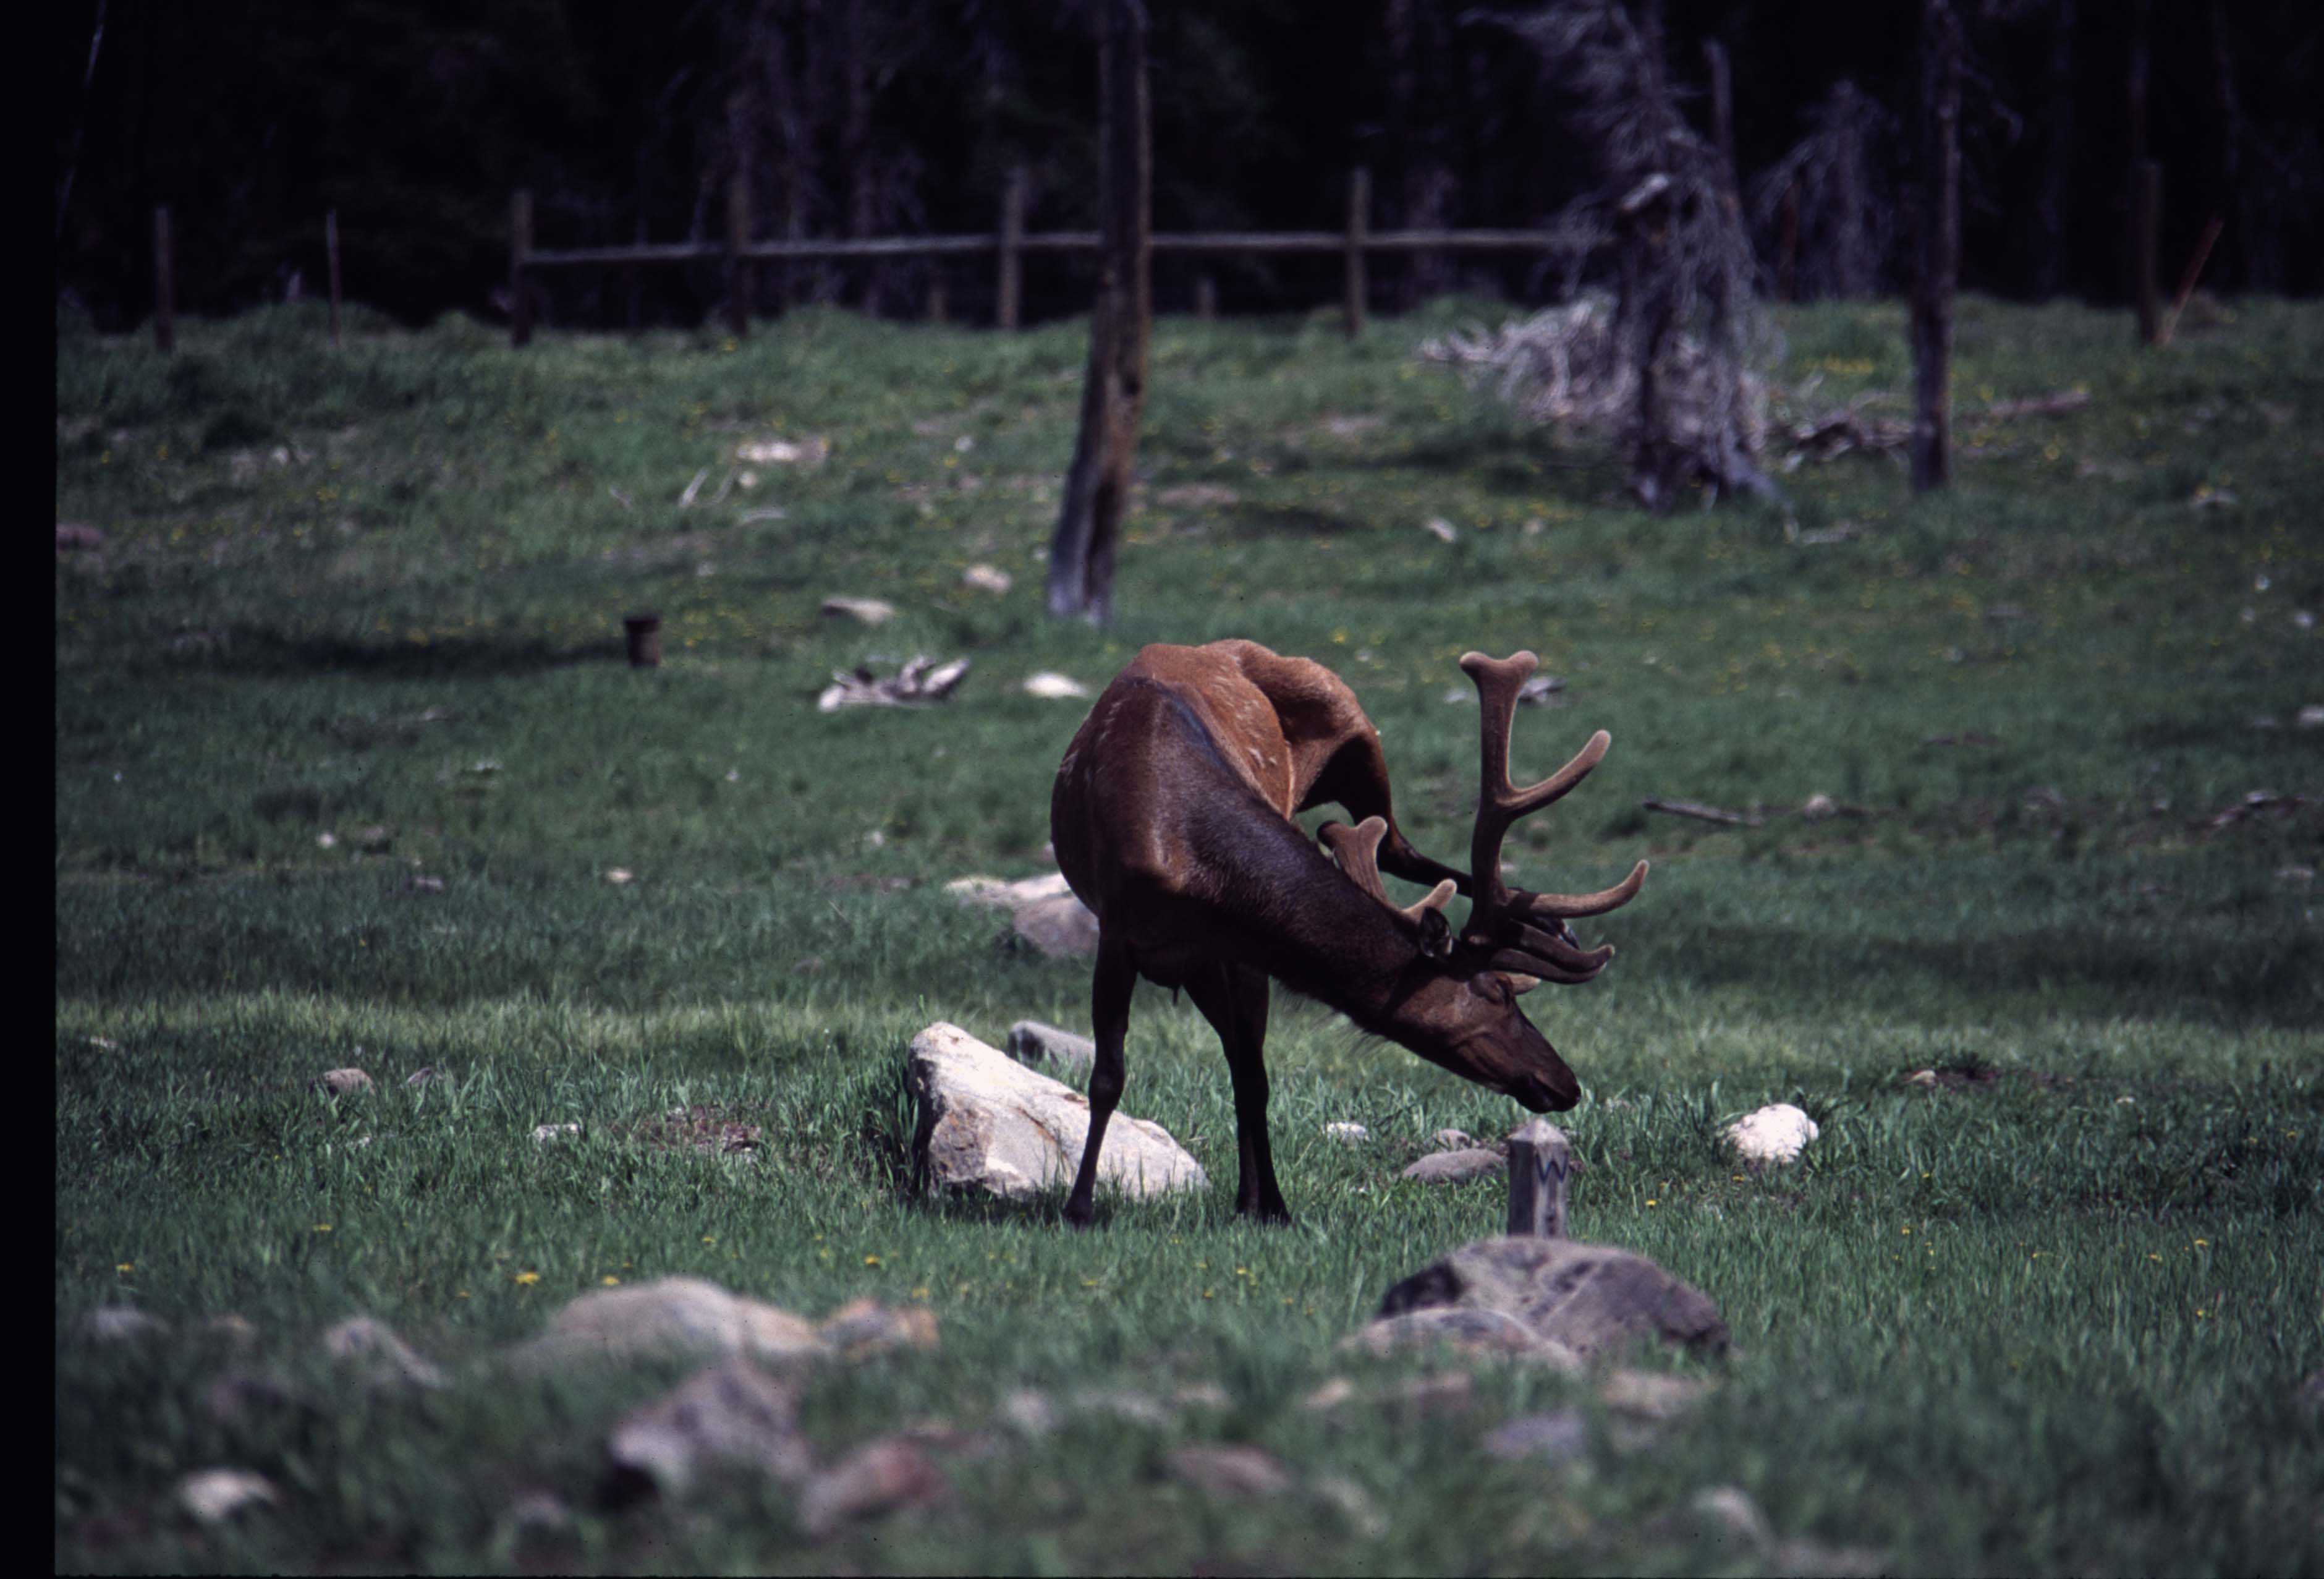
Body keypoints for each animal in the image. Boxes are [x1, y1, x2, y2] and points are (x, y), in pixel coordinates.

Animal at [1048, 639, 1647, 1226]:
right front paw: (1079, 1208)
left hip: (1355, 728)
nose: (1565, 1082)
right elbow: (1109, 1077)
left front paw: (1271, 1206)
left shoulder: (1240, 953)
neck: (1182, 845)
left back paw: (1552, 921)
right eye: (1500, 991)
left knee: (1397, 845)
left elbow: (1254, 1079)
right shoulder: (1120, 933)